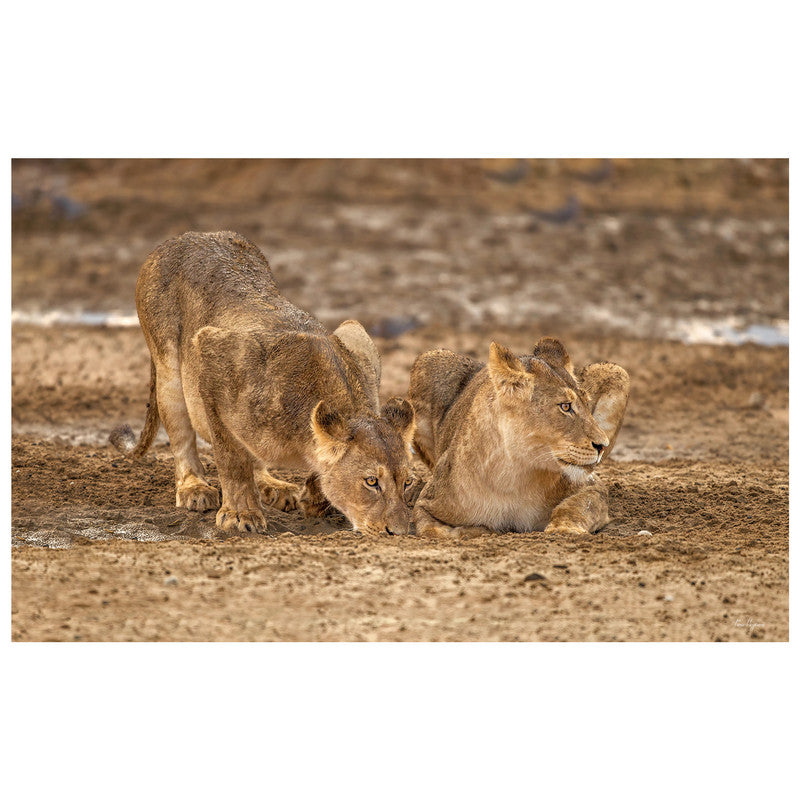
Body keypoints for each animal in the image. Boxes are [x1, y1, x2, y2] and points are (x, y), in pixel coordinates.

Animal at [110, 231, 417, 536]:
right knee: (184, 435)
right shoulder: (213, 351)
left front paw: (315, 498)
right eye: (371, 482)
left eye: (407, 482)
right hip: (168, 369)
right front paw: (240, 515)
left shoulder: (358, 340)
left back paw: (274, 487)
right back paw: (194, 488)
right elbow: (232, 458)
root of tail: (187, 235)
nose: (399, 532)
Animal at [408, 337, 630, 537]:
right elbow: (434, 531)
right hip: (428, 360)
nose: (602, 445)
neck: (515, 475)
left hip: (617, 372)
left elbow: (576, 507)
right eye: (565, 406)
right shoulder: (427, 501)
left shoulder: (592, 487)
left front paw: (564, 529)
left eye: (587, 403)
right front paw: (479, 529)